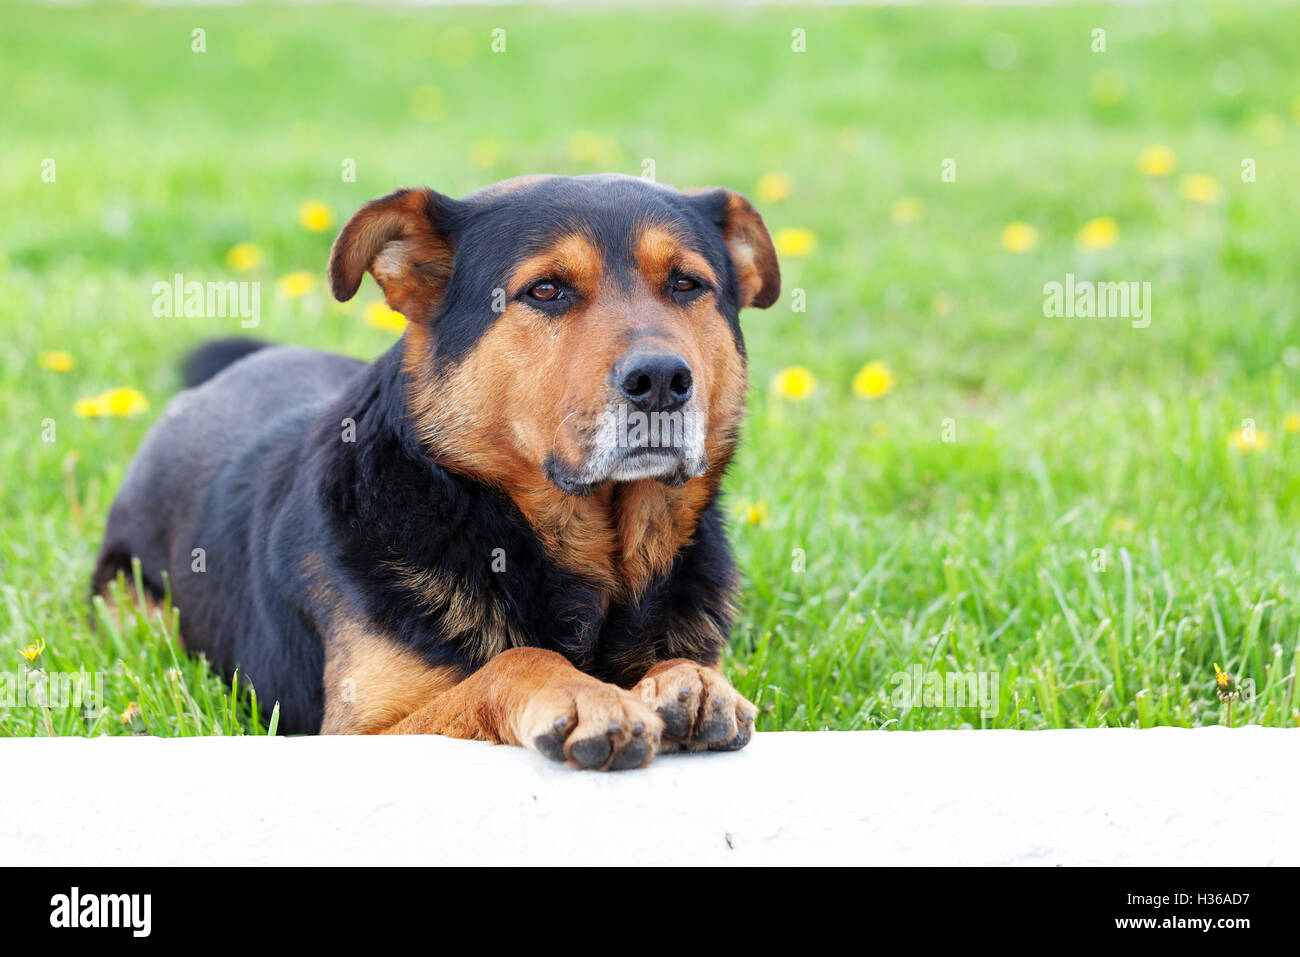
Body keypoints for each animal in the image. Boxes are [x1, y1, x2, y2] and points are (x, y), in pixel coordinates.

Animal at [96, 174, 780, 769]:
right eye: (546, 290)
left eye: (687, 284)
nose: (662, 381)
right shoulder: (359, 733)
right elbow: (511, 663)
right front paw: (582, 694)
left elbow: (686, 666)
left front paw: (688, 680)